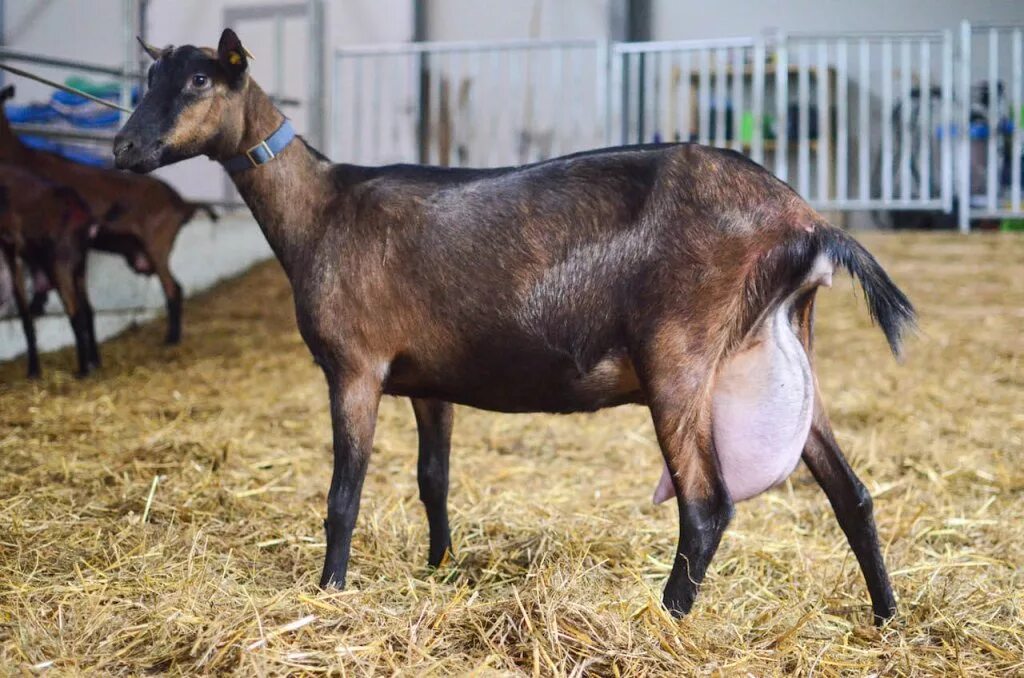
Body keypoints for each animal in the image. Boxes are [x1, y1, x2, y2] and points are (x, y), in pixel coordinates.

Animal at [0, 164, 99, 376]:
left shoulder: (11, 246)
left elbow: (25, 314)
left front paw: (33, 371)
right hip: (79, 267)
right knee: (88, 309)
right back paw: (95, 362)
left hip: (60, 267)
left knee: (76, 313)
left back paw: (82, 371)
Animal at [114, 31, 921, 626]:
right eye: (149, 78)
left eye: (198, 81)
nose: (123, 150)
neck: (321, 207)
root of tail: (805, 223)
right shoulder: (426, 379)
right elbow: (432, 479)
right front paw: (439, 567)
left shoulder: (355, 366)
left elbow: (344, 495)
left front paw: (329, 591)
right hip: (773, 356)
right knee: (851, 493)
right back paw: (887, 617)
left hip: (680, 354)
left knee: (706, 503)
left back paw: (665, 620)